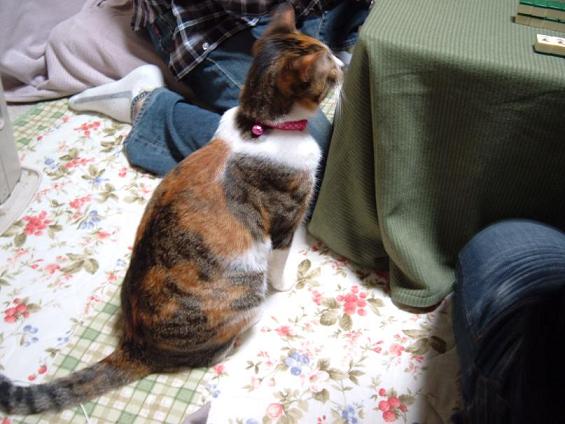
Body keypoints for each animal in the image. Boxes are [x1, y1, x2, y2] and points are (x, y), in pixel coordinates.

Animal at [0, 3, 342, 416]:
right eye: (331, 69)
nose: (343, 62)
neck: (260, 127)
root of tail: (136, 346)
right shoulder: (283, 219)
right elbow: (281, 258)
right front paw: (287, 282)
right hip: (245, 292)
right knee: (215, 351)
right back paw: (243, 340)